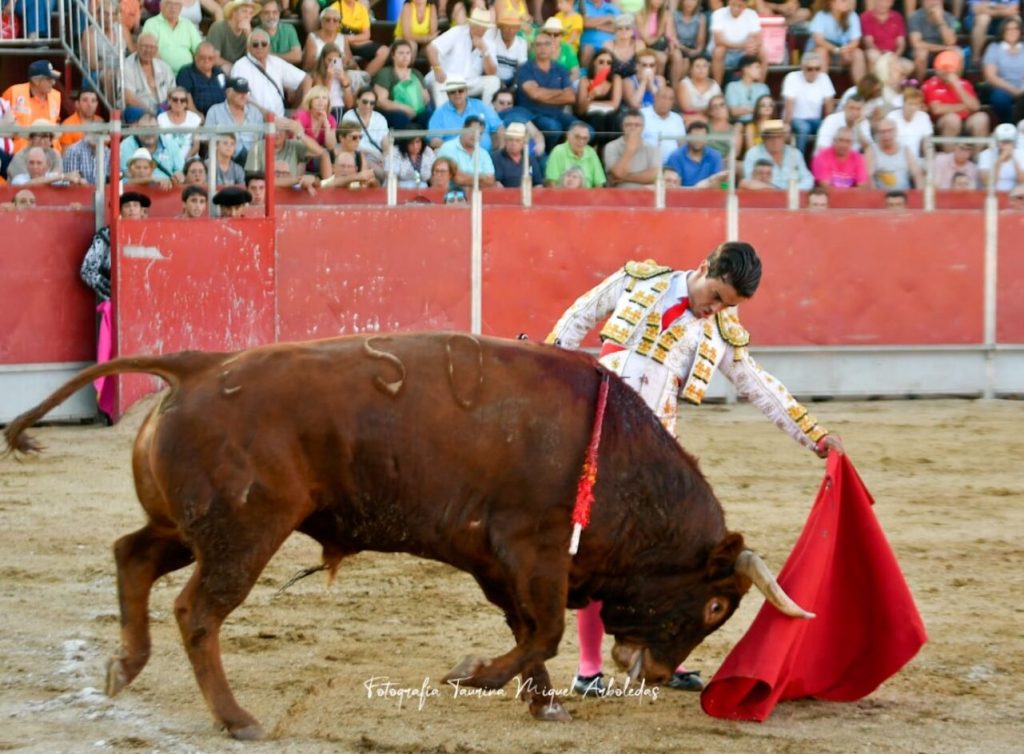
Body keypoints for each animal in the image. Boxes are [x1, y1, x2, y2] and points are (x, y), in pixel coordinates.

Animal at [4, 331, 811, 737]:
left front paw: (541, 702)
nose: (657, 671)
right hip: (244, 532)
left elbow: (531, 630)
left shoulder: (498, 560)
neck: (616, 457)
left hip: (188, 526)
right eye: (716, 605)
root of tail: (200, 368)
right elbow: (545, 629)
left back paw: (124, 666)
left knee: (134, 556)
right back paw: (237, 720)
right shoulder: (534, 548)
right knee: (198, 612)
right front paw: (475, 674)